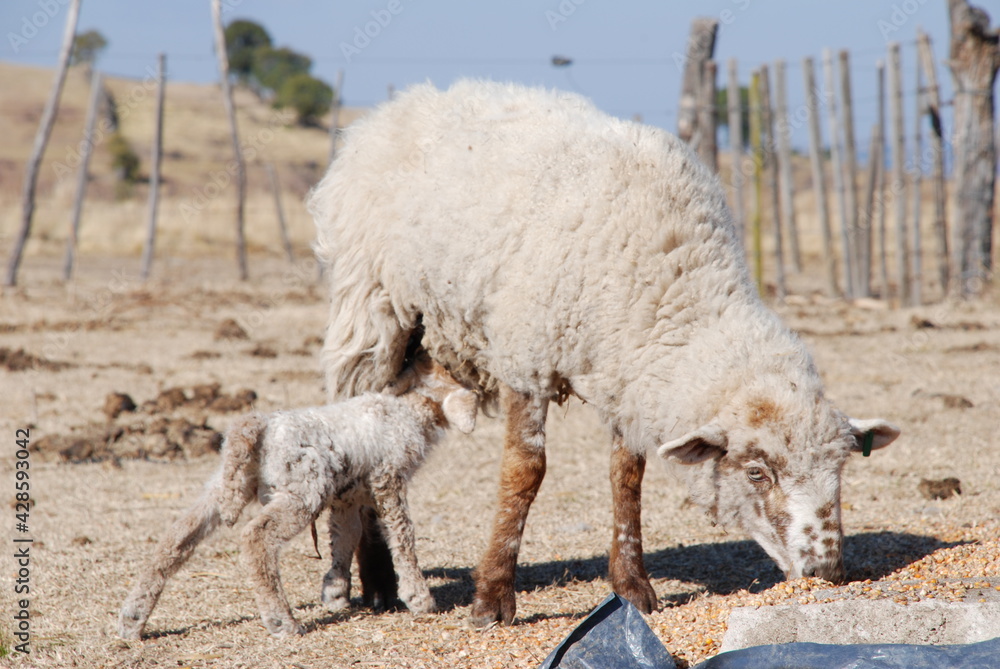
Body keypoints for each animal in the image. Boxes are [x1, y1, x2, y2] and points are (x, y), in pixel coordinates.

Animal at [118, 354, 478, 638]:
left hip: (225, 487)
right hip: (302, 492)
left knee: (176, 538)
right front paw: (420, 599)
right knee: (256, 537)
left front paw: (334, 592)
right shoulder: (387, 479)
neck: (406, 409)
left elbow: (346, 535)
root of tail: (259, 426)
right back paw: (282, 622)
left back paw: (132, 620)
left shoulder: (347, 495)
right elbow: (402, 537)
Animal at [307, 79, 901, 627]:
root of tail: (403, 102)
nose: (828, 571)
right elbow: (525, 473)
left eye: (841, 466)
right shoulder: (528, 356)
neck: (672, 280)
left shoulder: (625, 374)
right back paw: (379, 582)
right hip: (370, 308)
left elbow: (626, 477)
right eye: (757, 473)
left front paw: (632, 587)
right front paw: (492, 598)